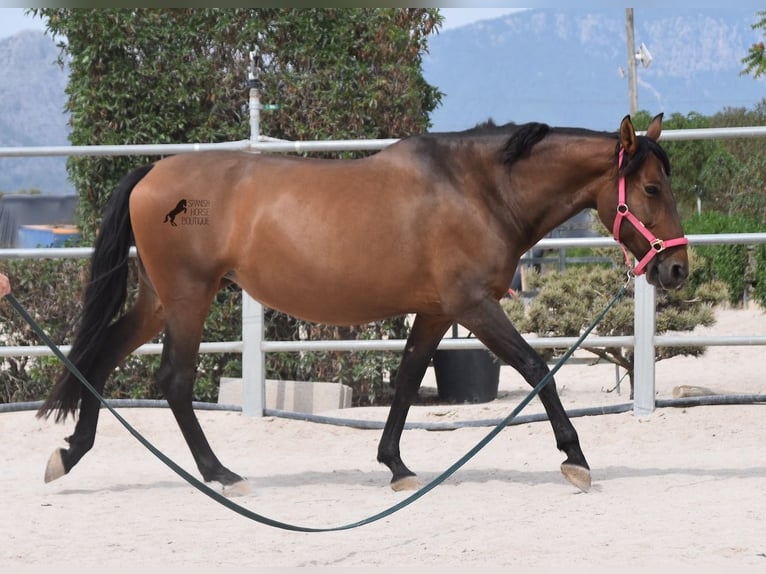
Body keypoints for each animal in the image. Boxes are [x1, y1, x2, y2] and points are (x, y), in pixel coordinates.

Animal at [36, 112, 688, 496]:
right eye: (652, 188)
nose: (677, 268)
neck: (476, 188)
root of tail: (151, 175)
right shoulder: (474, 306)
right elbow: (535, 368)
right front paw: (575, 458)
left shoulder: (436, 311)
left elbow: (406, 381)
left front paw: (396, 466)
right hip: (189, 297)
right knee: (172, 379)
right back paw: (221, 474)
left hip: (159, 300)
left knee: (101, 359)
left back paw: (70, 454)